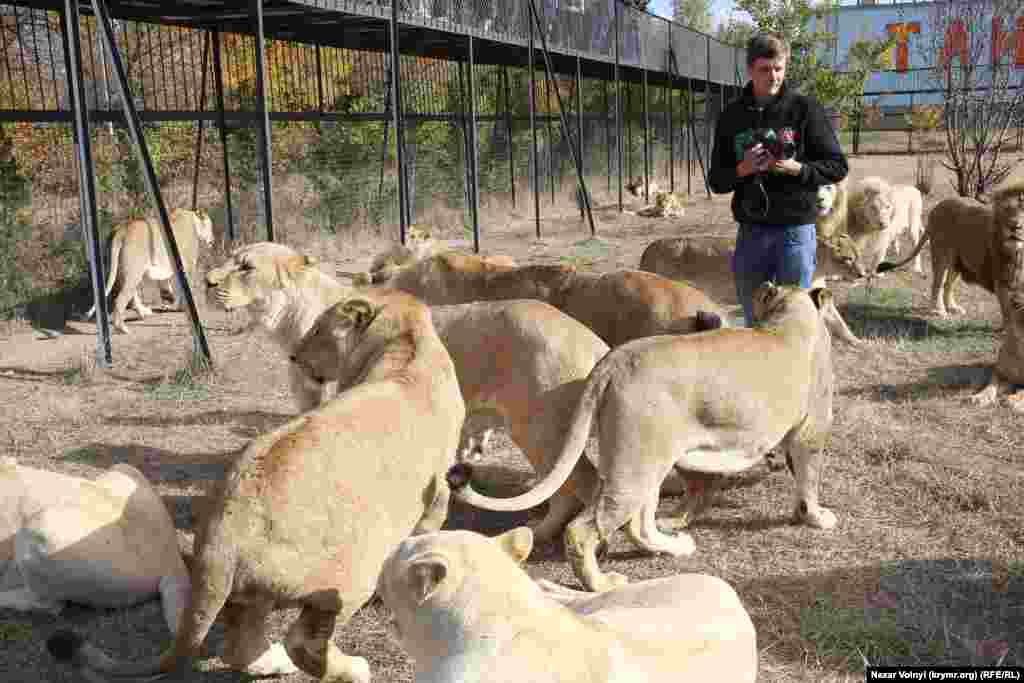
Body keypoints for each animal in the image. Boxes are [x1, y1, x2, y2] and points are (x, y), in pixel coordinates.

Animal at [47, 290, 464, 683]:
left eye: (317, 330)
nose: (295, 357)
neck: (407, 341)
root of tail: (223, 533)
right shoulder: (439, 491)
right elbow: (426, 529)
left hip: (247, 593)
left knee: (240, 647)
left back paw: (272, 663)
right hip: (348, 576)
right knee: (304, 644)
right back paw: (354, 669)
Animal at [87, 210, 215, 333]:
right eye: (210, 226)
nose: (212, 240)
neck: (193, 220)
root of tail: (122, 229)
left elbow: (171, 286)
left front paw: (171, 302)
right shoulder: (188, 265)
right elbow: (185, 287)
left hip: (124, 270)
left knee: (131, 294)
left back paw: (143, 312)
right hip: (134, 271)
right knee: (120, 299)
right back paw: (122, 328)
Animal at [452, 282, 835, 593]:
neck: (789, 316)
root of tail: (613, 361)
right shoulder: (811, 432)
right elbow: (809, 481)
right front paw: (817, 517)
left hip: (646, 463)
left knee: (640, 523)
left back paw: (675, 545)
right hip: (636, 469)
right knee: (585, 529)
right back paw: (602, 582)